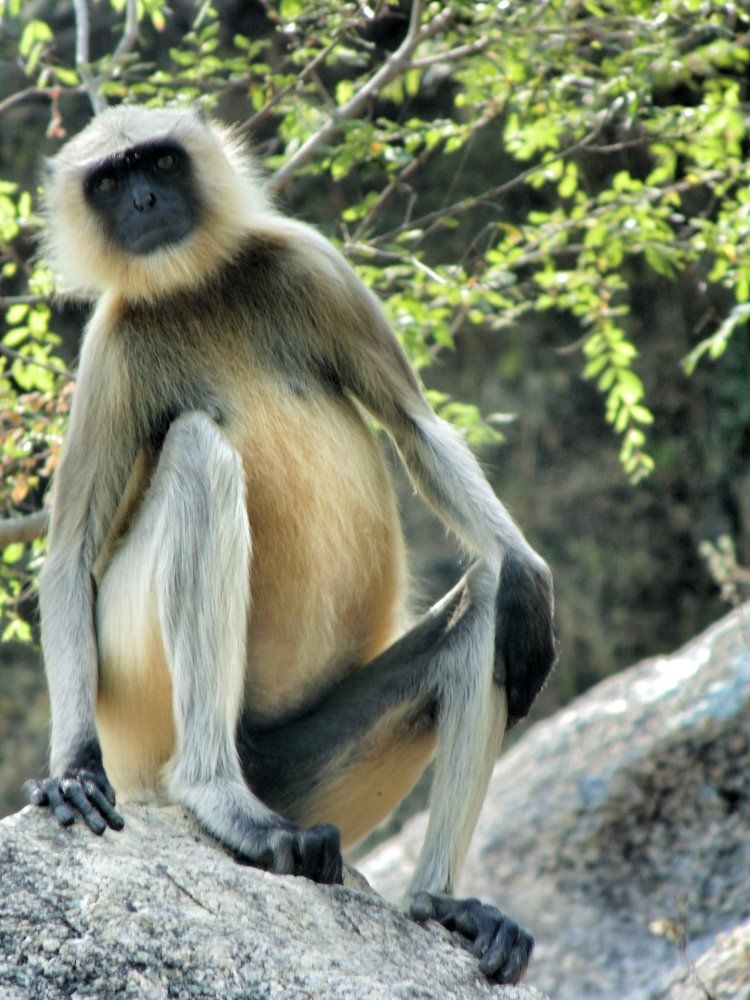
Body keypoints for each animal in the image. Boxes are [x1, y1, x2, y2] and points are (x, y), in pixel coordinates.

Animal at [23, 105, 555, 986]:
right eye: (109, 179)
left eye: (159, 164)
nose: (141, 203)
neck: (196, 287)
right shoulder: (112, 349)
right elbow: (69, 555)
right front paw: (70, 769)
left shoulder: (310, 262)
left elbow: (416, 426)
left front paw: (531, 574)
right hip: (137, 709)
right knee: (197, 454)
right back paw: (225, 804)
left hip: (304, 770)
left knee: (491, 608)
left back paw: (440, 905)